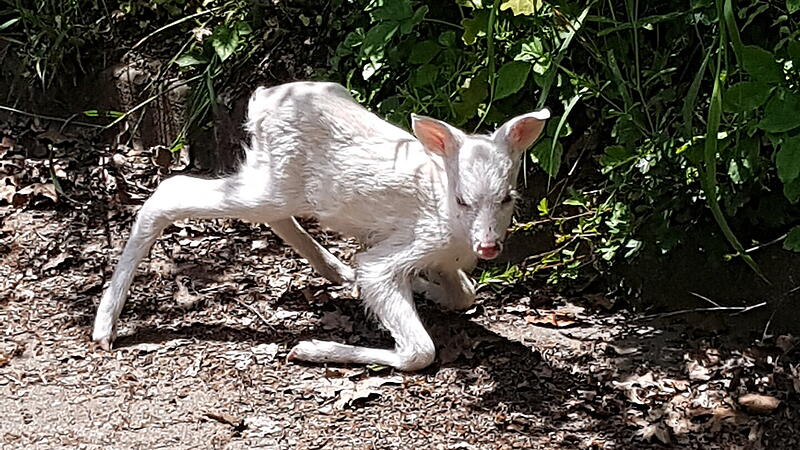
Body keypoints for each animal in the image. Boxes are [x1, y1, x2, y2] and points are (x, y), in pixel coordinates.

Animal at [92, 81, 549, 371]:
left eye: (509, 197)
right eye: (462, 200)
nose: (488, 248)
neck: (448, 222)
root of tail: (260, 103)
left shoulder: (438, 255)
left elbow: (465, 295)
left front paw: (422, 288)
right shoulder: (405, 246)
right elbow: (419, 350)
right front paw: (311, 349)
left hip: (278, 179)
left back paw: (338, 270)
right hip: (273, 181)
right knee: (169, 191)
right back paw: (104, 327)